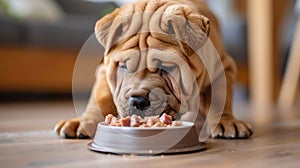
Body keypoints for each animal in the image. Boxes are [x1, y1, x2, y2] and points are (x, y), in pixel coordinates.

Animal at [54, 0, 253, 139]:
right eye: (123, 66)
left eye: (165, 67)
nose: (138, 101)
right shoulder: (105, 70)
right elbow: (99, 99)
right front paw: (83, 121)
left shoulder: (223, 68)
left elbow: (220, 99)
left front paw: (226, 121)